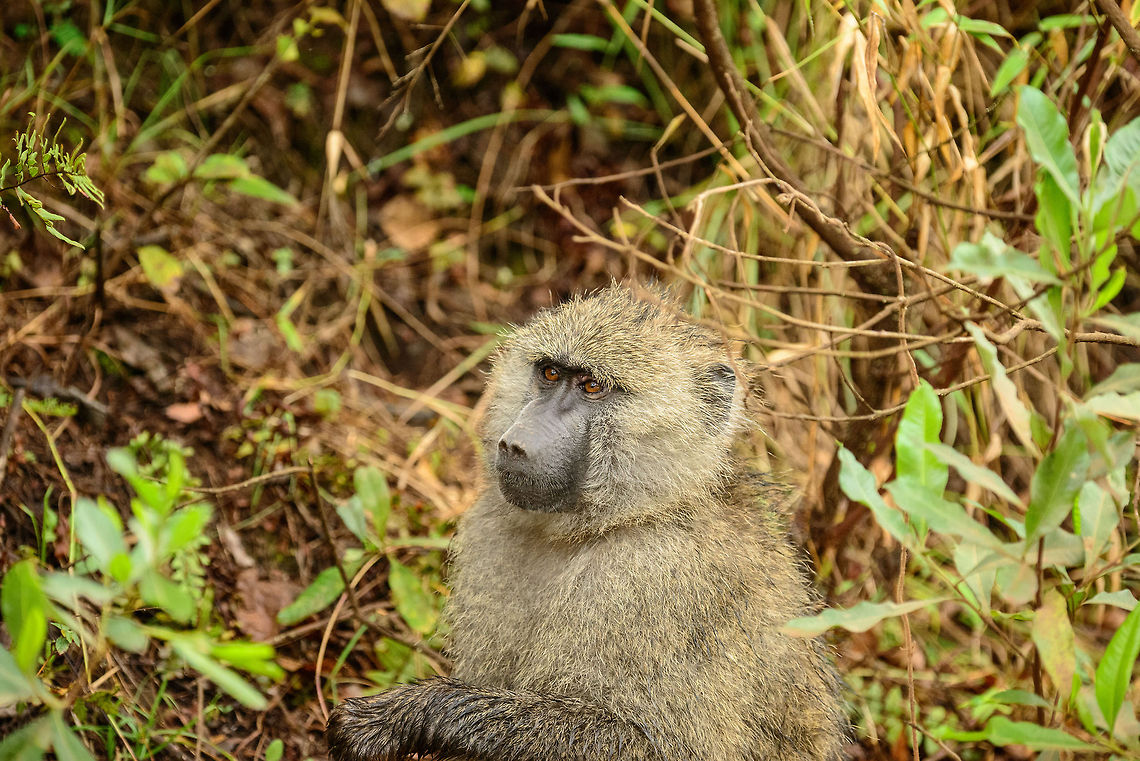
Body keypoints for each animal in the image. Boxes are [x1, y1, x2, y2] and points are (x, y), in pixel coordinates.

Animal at [327, 283, 849, 761]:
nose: (514, 444)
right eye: (550, 373)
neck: (628, 515)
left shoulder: (656, 577)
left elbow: (655, 745)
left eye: (592, 387)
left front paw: (408, 713)